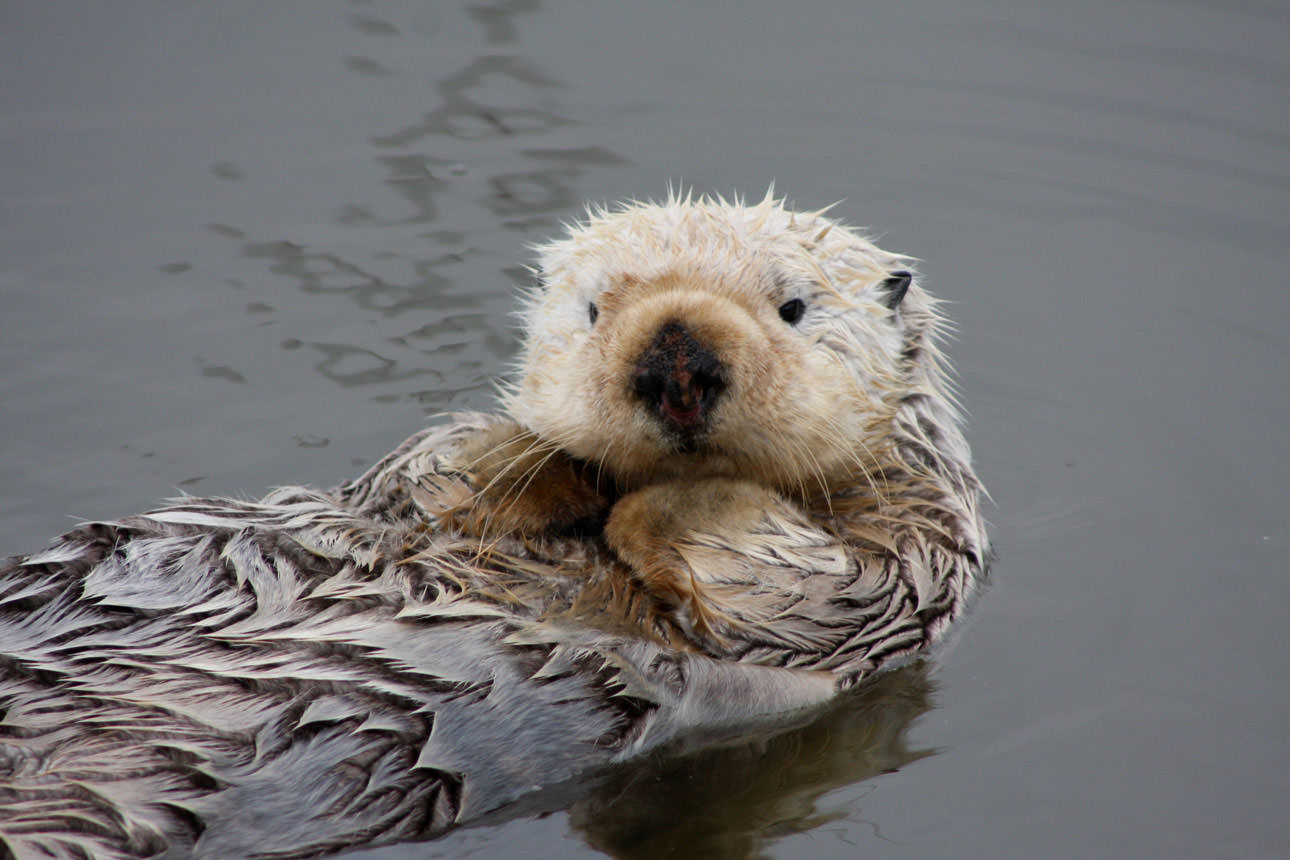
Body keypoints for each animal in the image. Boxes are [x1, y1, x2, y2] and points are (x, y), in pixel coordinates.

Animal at [0, 194, 980, 860]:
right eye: (593, 308)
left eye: (794, 307)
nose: (677, 358)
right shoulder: (396, 486)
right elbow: (432, 467)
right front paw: (536, 462)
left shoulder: (915, 559)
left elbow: (815, 585)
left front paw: (659, 502)